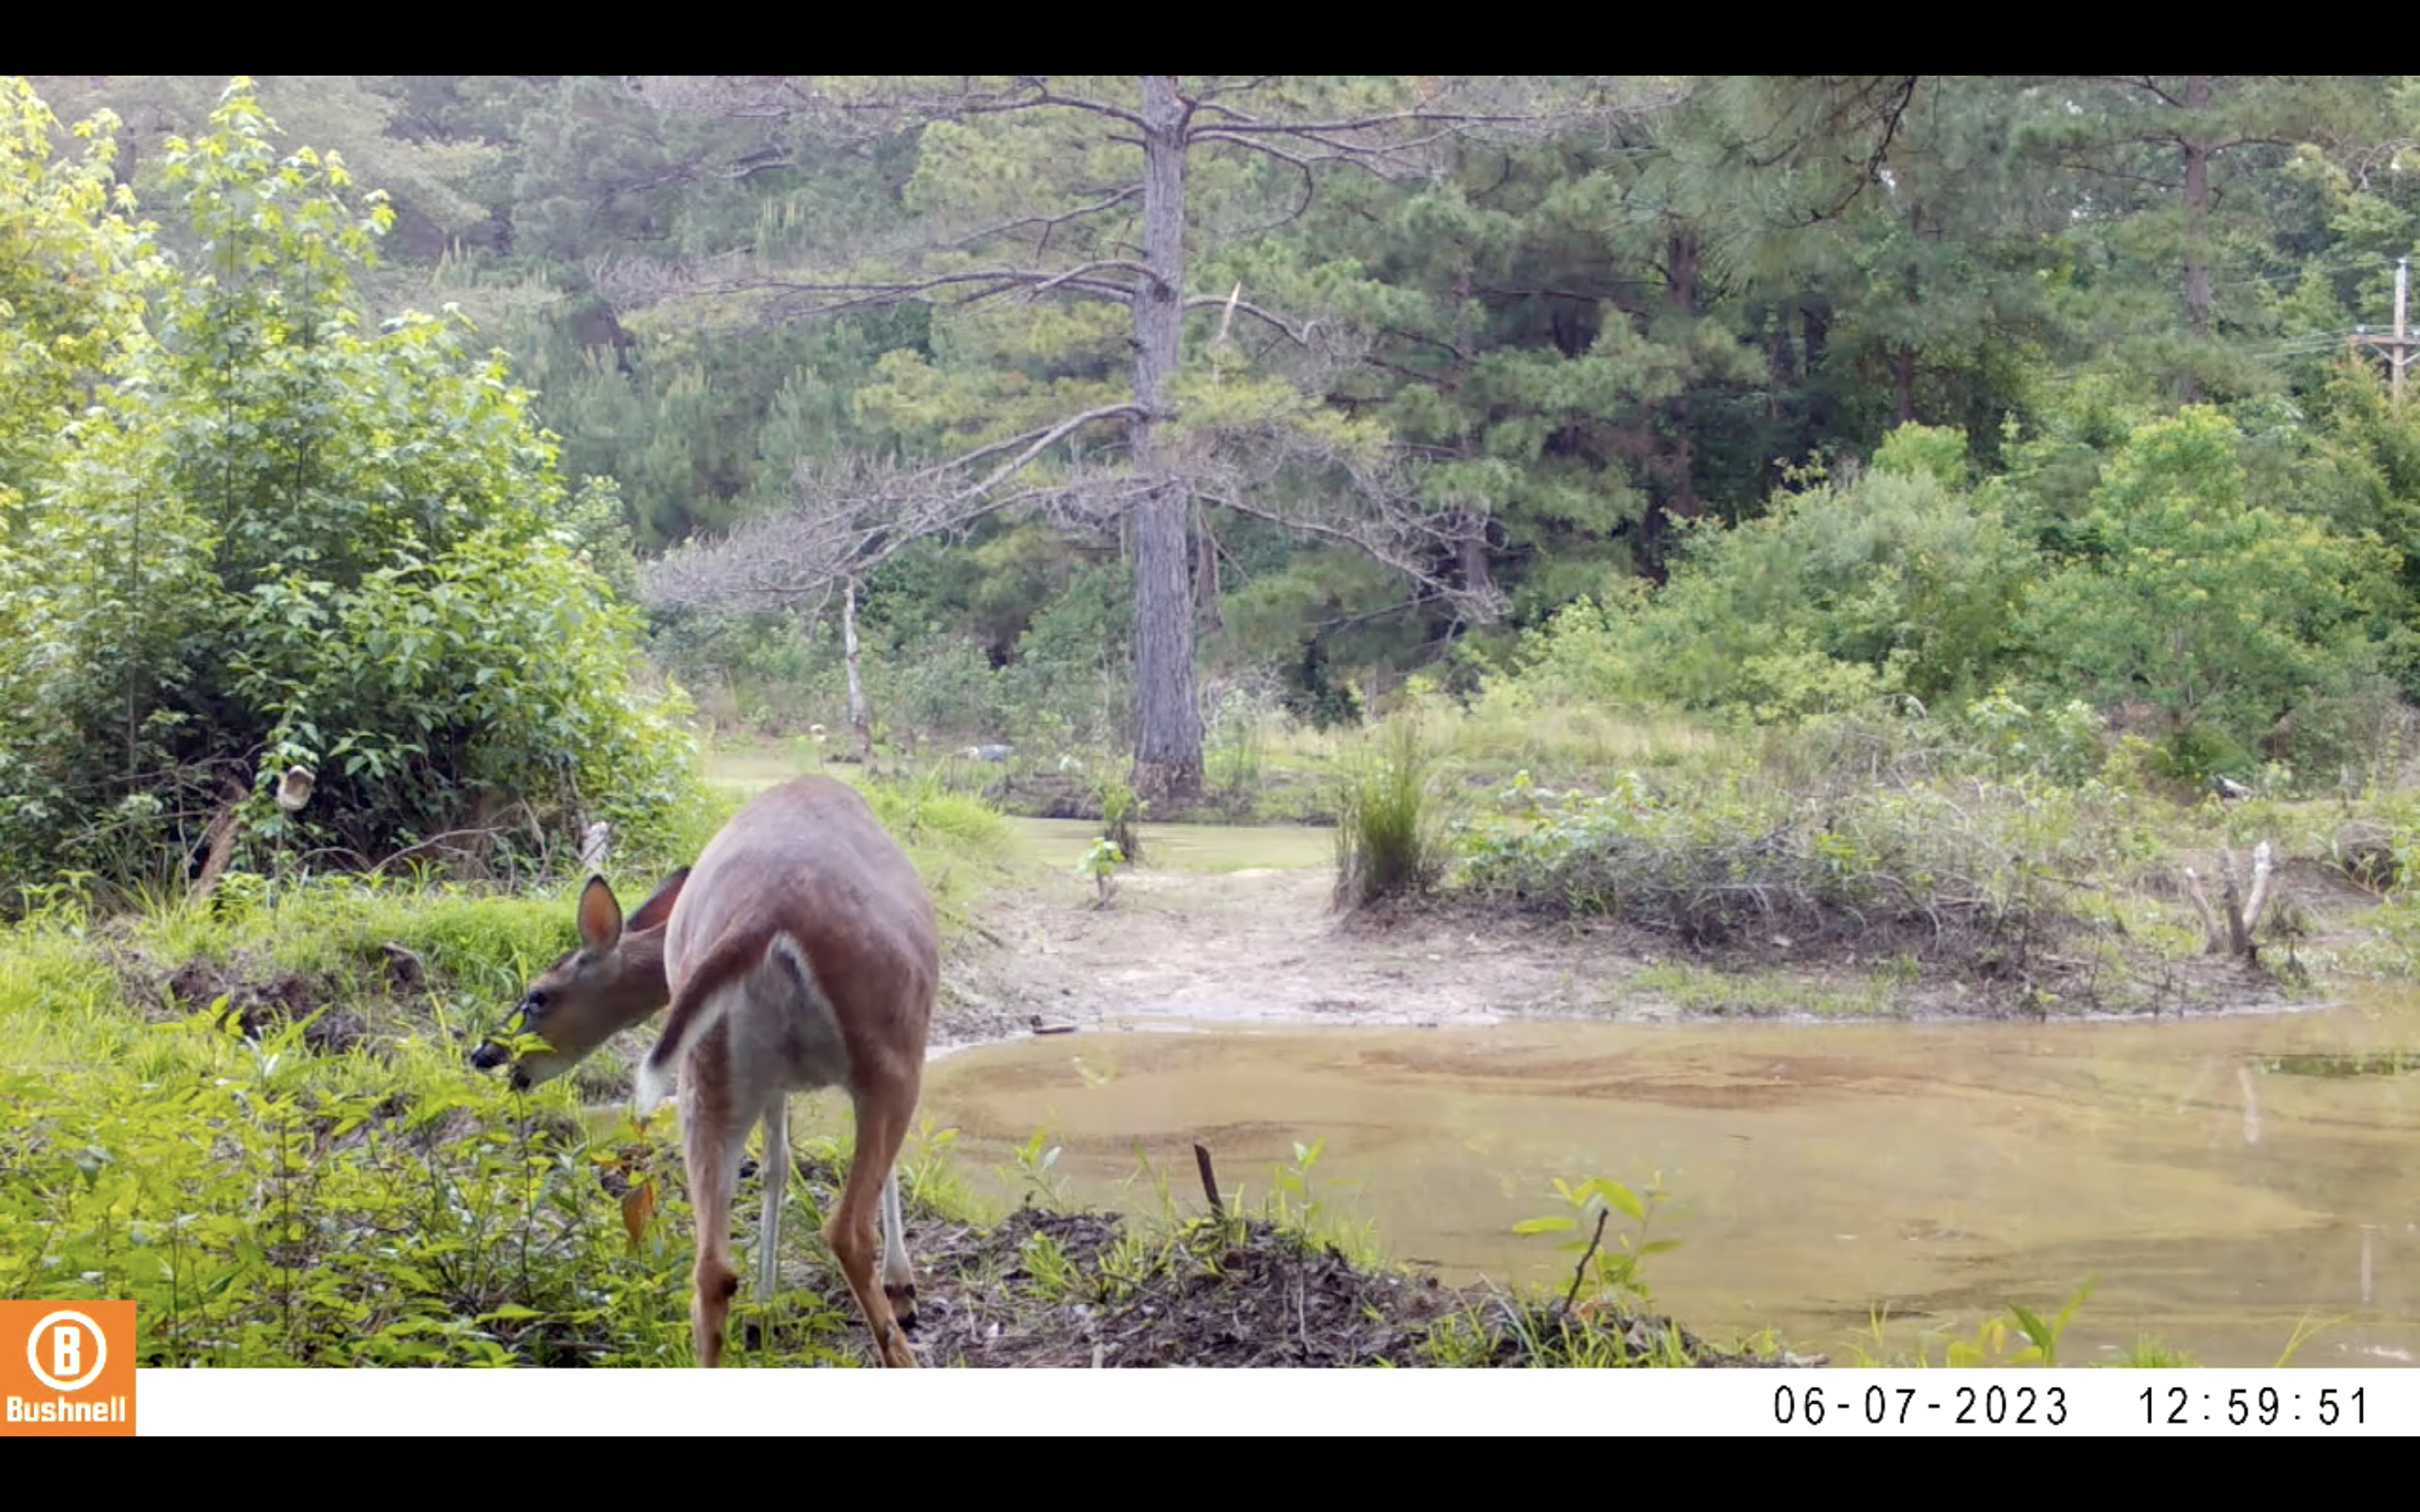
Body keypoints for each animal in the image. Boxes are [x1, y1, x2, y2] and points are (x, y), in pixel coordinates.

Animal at [469, 779, 934, 1364]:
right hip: (889, 1048)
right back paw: (902, 1346)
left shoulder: (773, 1082)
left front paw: (767, 1307)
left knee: (711, 1269)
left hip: (709, 1069)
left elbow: (776, 1165)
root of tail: (763, 916)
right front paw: (901, 1288)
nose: (484, 1054)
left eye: (538, 995)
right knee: (846, 1229)